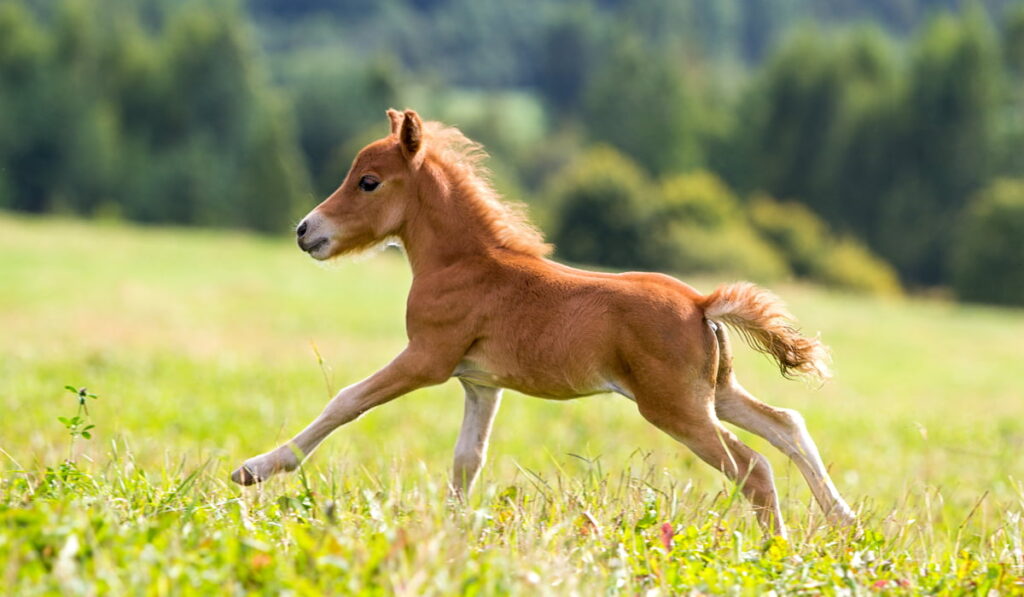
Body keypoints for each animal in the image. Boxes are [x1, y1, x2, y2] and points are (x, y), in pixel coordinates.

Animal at [232, 108, 856, 536]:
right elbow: (467, 460)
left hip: (674, 407)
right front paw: (452, 534)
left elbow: (346, 402)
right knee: (787, 426)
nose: (306, 231)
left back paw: (778, 547)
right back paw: (843, 521)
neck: (466, 264)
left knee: (754, 467)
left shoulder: (427, 358)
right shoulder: (480, 383)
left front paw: (255, 469)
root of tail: (703, 303)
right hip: (714, 393)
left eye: (369, 181)